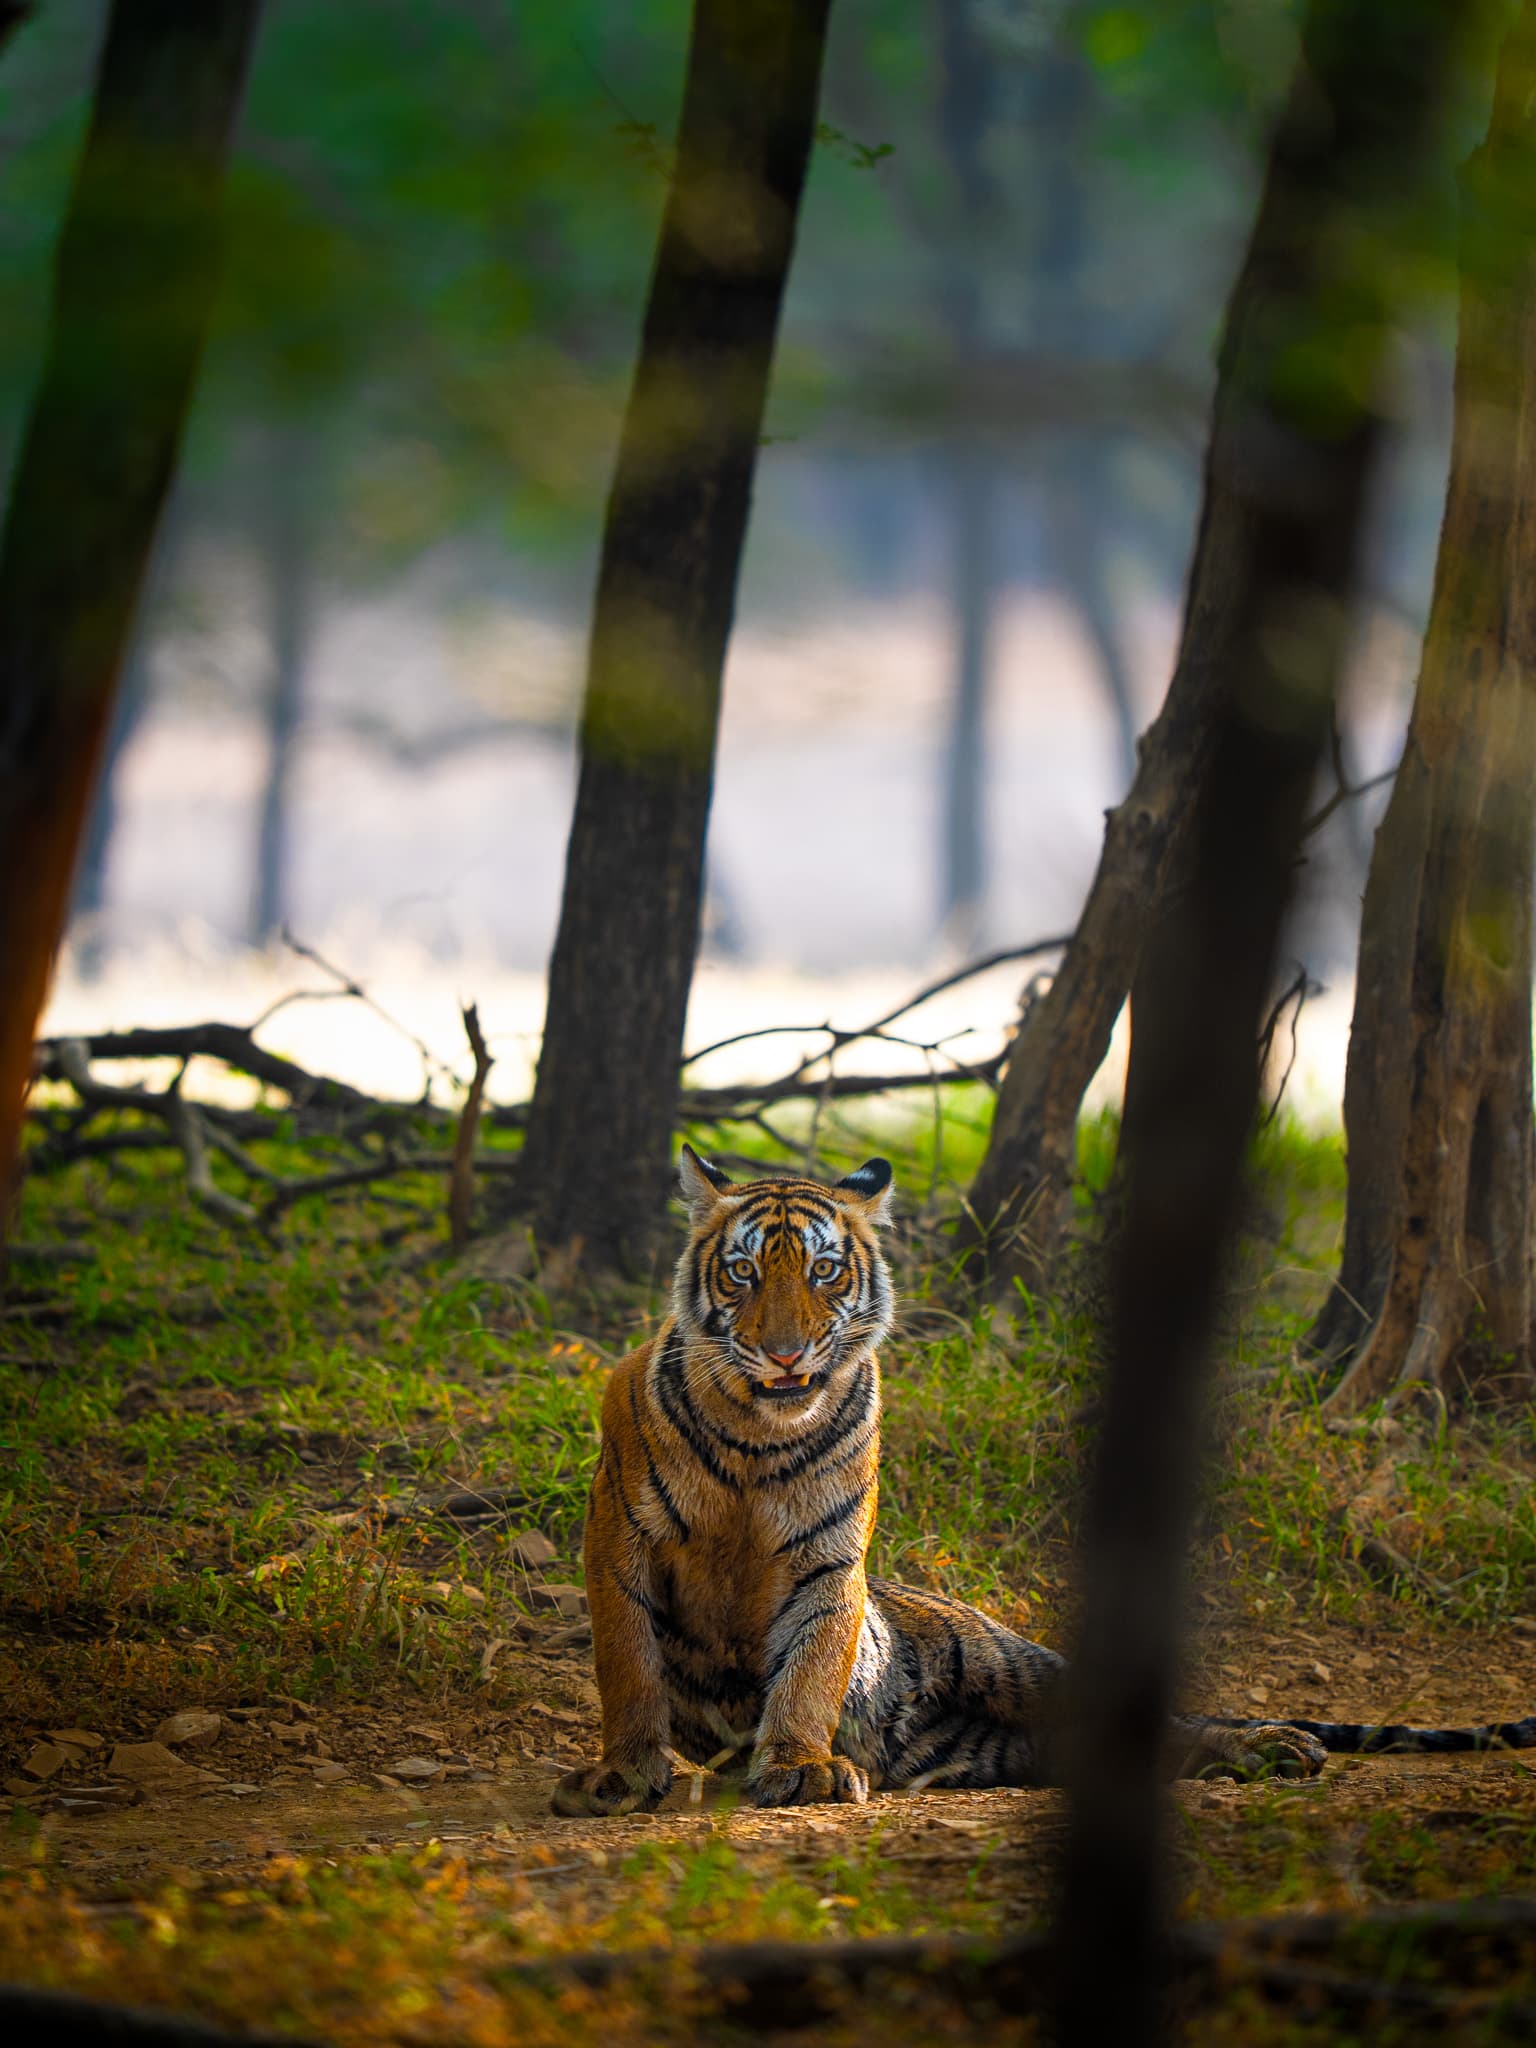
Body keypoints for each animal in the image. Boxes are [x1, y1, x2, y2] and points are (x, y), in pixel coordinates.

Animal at [551, 1147, 1536, 1816]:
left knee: (1171, 1726)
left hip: (1019, 1664)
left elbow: (811, 1663)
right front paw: (623, 1773)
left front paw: (800, 1764)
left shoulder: (826, 1560)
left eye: (825, 1271)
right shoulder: (619, 1544)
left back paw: (1275, 1749)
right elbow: (630, 1667)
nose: (787, 1353)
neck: (760, 1438)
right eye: (744, 1272)